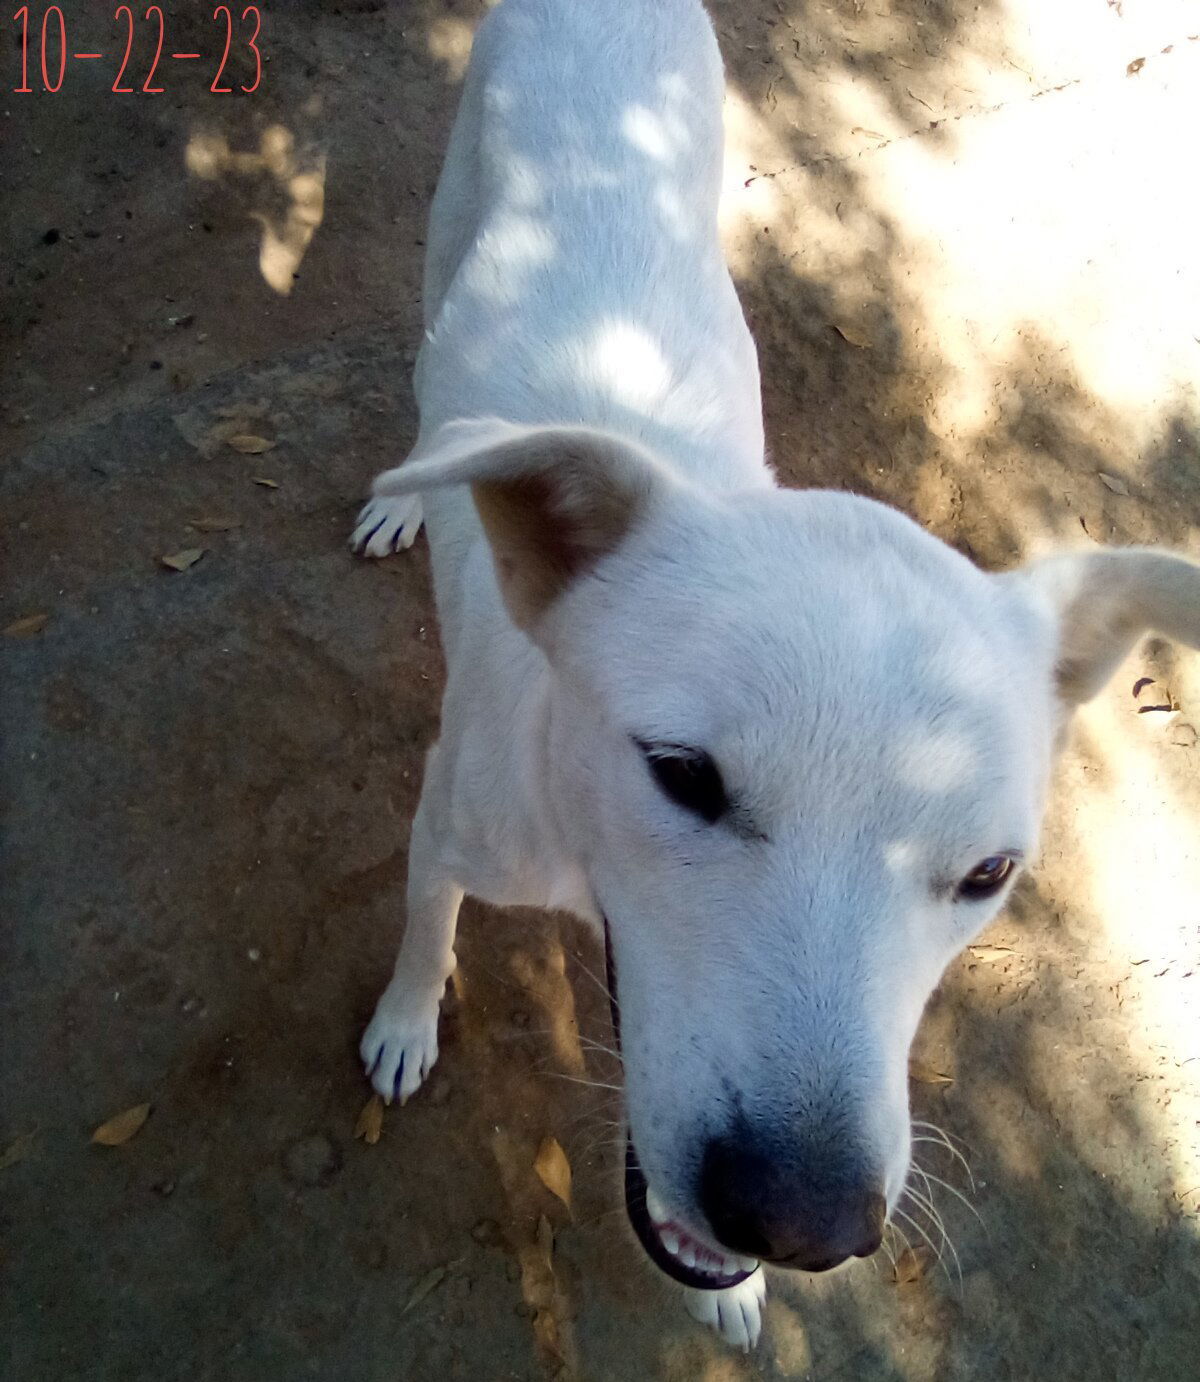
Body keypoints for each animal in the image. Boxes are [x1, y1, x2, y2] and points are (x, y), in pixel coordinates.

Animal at [351, 0, 1200, 1348]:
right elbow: (424, 931)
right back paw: (402, 500)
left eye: (990, 874)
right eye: (683, 776)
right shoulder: (445, 822)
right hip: (450, 228)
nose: (802, 1226)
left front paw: (739, 1289)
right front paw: (400, 1023)